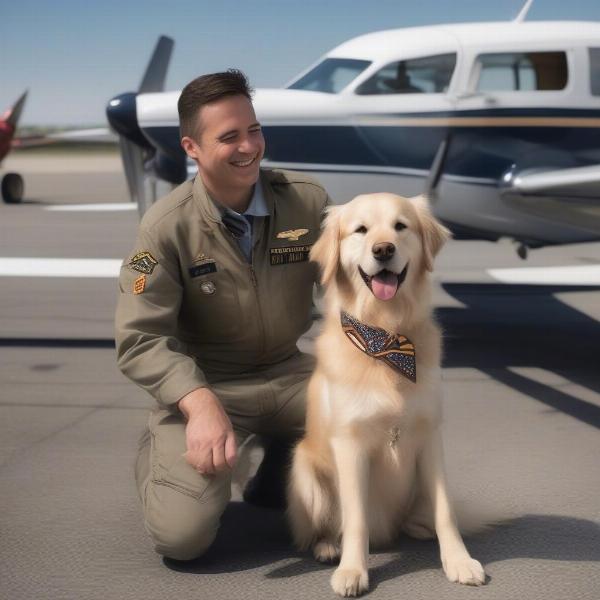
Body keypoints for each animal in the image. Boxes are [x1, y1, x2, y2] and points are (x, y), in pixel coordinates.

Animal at [288, 193, 488, 596]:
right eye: (360, 230)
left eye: (400, 226)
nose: (383, 249)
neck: (387, 337)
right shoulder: (350, 444)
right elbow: (356, 519)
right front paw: (353, 571)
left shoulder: (430, 436)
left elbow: (446, 512)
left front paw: (459, 561)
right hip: (304, 470)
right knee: (324, 526)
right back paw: (328, 547)